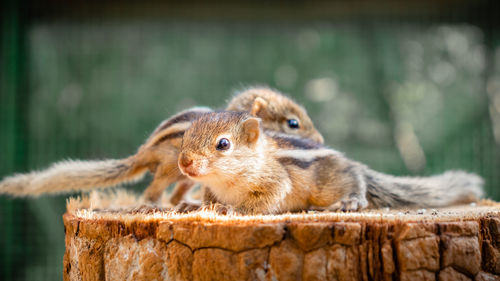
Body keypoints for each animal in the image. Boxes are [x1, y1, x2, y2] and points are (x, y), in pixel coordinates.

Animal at [0, 86, 324, 202]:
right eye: (293, 123)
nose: (320, 139)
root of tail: (142, 153)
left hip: (186, 177)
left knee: (175, 195)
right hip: (172, 169)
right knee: (152, 192)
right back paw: (152, 205)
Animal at [177, 110, 484, 213]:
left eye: (223, 144)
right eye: (185, 137)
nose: (185, 163)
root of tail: (352, 163)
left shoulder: (276, 180)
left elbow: (263, 200)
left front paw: (233, 210)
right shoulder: (210, 187)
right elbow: (208, 198)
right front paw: (199, 206)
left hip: (333, 185)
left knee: (356, 181)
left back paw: (351, 200)